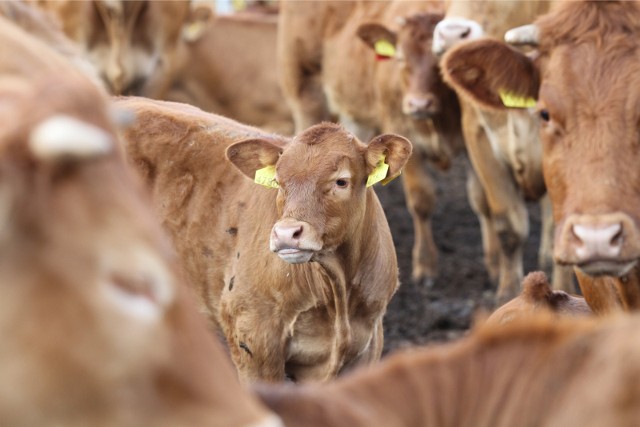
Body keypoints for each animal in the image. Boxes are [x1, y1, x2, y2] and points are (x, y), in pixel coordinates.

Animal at [115, 97, 412, 384]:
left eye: (341, 181)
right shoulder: (254, 339)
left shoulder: (367, 345)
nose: (286, 233)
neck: (338, 295)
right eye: (279, 182)